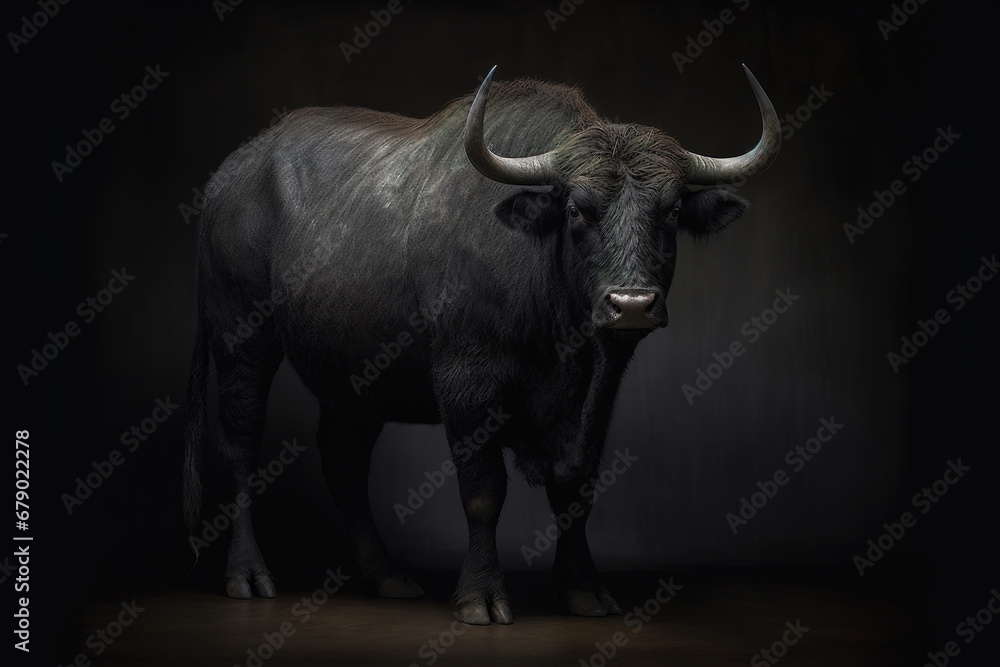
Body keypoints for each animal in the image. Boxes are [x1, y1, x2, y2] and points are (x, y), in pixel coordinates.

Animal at [183, 64, 780, 625]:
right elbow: (483, 493)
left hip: (353, 374)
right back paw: (248, 574)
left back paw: (387, 576)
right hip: (241, 336)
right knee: (241, 443)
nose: (630, 304)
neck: (561, 343)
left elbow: (577, 492)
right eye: (577, 209)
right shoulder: (465, 385)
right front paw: (481, 597)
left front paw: (584, 590)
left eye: (673, 210)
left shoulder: (599, 396)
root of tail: (228, 177)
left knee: (343, 458)